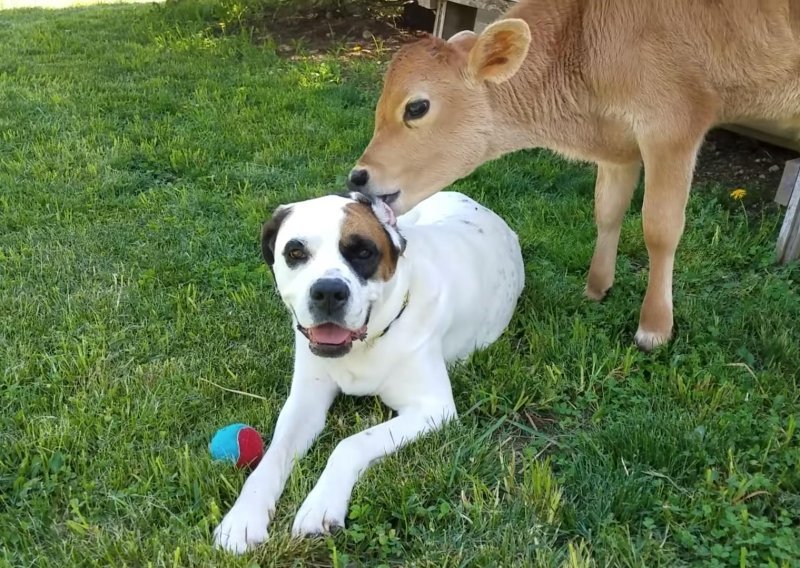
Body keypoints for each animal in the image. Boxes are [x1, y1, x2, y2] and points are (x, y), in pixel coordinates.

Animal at [212, 190, 524, 552]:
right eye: (295, 252)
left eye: (363, 252)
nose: (328, 291)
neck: (367, 344)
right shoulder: (304, 403)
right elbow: (273, 454)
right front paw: (242, 518)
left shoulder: (434, 410)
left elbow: (351, 443)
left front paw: (320, 507)